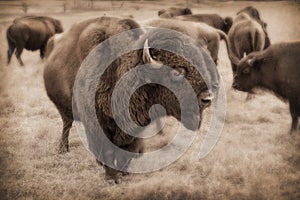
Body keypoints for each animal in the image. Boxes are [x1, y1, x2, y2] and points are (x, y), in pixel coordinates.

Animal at [43, 16, 218, 183]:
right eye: (176, 72)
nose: (207, 98)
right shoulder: (97, 125)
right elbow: (107, 151)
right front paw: (112, 178)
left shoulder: (135, 127)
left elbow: (127, 151)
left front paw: (124, 173)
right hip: (63, 109)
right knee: (66, 125)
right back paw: (63, 149)